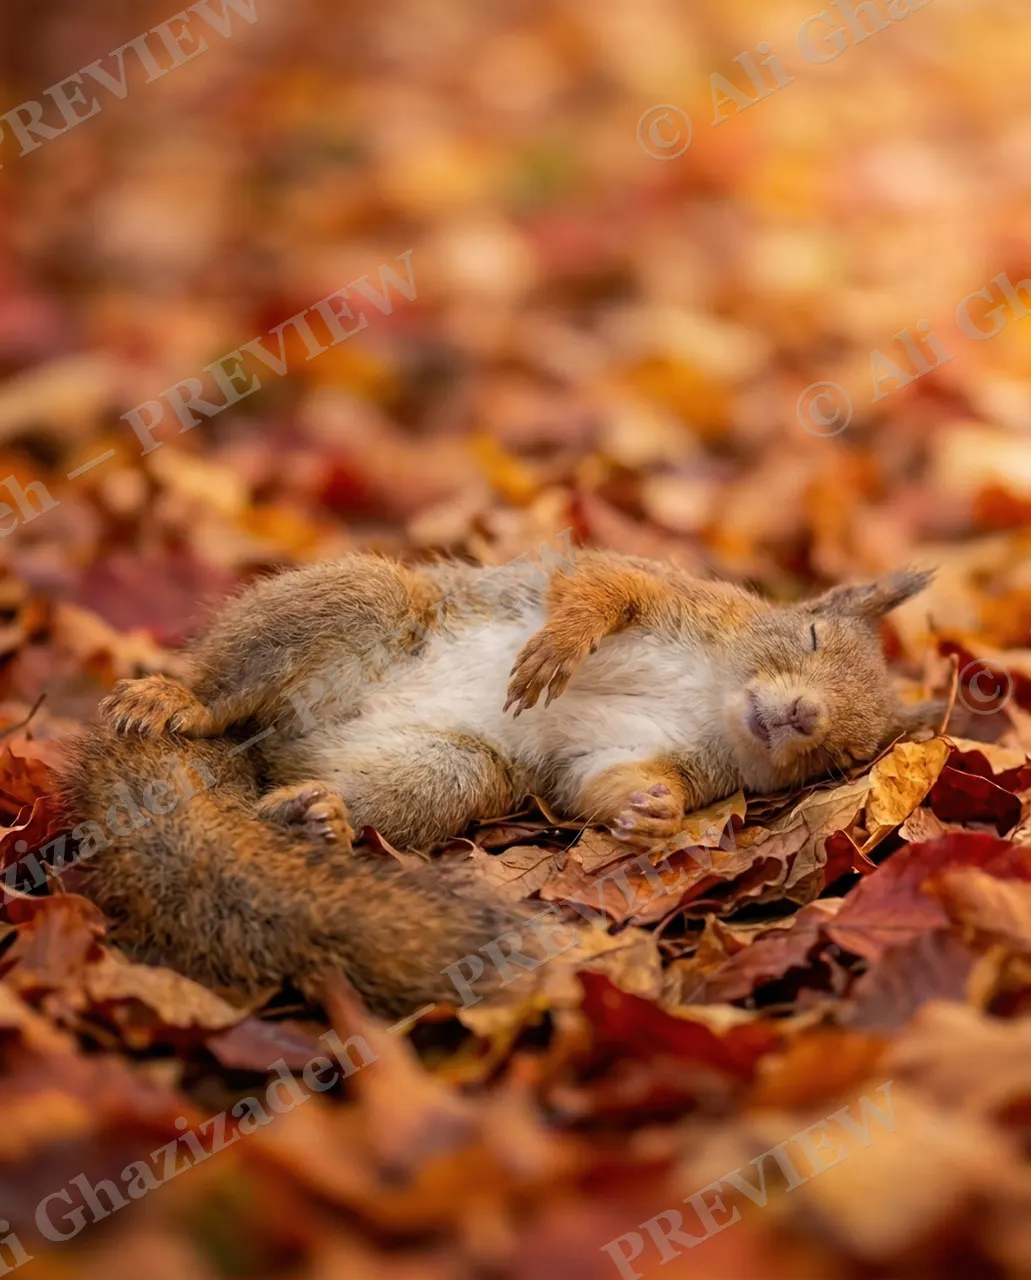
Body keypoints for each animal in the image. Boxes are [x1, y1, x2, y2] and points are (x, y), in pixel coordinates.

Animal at [56, 550, 942, 1015]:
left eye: (842, 755)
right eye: (810, 632)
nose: (799, 715)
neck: (714, 694)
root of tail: (272, 739)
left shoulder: (654, 754)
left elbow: (605, 782)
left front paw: (650, 812)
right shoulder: (668, 592)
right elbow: (601, 584)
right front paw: (564, 642)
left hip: (450, 769)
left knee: (316, 781)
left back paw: (314, 815)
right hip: (354, 603)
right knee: (228, 687)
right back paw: (179, 701)